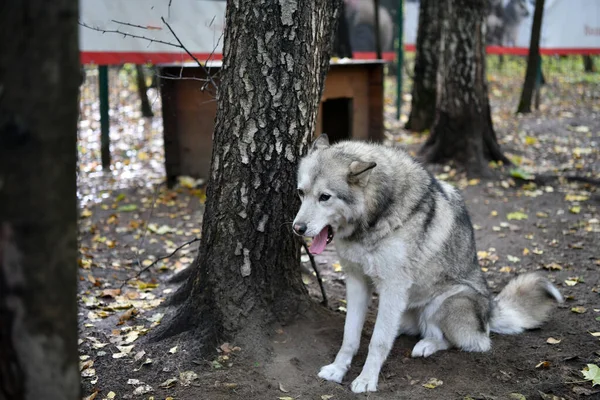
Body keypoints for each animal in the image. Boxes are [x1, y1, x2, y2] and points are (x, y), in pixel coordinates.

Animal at [292, 136, 564, 392]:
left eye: (325, 197)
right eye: (301, 193)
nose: (297, 228)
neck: (376, 215)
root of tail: (491, 309)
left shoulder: (393, 287)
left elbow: (378, 341)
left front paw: (367, 380)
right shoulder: (357, 281)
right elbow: (350, 335)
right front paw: (338, 369)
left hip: (445, 302)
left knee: (470, 342)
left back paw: (426, 346)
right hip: (407, 312)